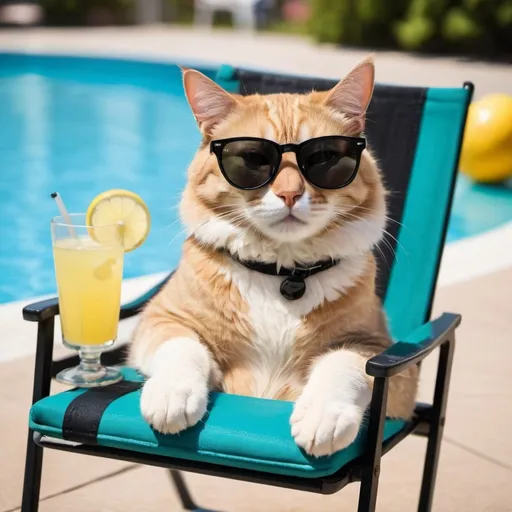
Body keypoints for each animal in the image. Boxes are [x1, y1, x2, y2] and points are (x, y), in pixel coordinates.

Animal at [129, 58, 420, 458]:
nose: (289, 194)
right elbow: (183, 346)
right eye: (252, 159)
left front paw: (324, 415)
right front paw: (173, 393)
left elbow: (345, 362)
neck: (283, 273)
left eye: (324, 157)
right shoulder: (160, 318)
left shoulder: (385, 355)